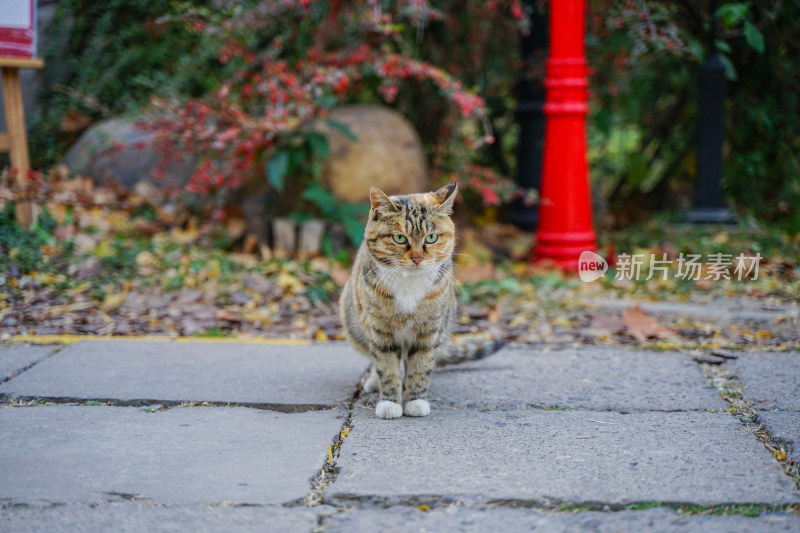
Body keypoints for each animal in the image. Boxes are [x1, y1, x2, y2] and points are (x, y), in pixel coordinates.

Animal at [340, 183, 504, 420]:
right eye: (400, 238)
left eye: (431, 237)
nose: (417, 258)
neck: (409, 283)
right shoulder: (379, 328)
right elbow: (386, 365)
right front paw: (390, 402)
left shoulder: (429, 329)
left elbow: (420, 365)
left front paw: (415, 400)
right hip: (353, 323)